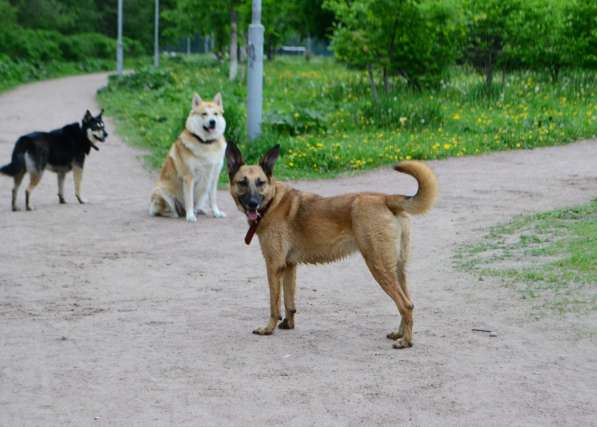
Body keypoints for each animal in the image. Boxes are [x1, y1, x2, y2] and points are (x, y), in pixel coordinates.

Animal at [149, 92, 226, 222]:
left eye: (215, 114)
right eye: (204, 114)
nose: (212, 122)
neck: (206, 143)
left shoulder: (214, 177)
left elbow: (213, 199)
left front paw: (216, 213)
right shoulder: (188, 178)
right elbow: (189, 199)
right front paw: (190, 216)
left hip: (203, 192)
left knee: (197, 205)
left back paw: (200, 210)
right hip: (161, 191)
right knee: (161, 211)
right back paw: (176, 213)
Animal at [226, 144, 436, 352]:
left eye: (260, 183)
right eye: (242, 182)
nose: (253, 204)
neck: (272, 202)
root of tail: (386, 198)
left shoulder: (273, 265)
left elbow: (274, 304)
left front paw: (268, 328)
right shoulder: (289, 266)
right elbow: (289, 301)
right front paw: (288, 324)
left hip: (379, 266)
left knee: (405, 304)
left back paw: (406, 341)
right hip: (397, 269)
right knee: (408, 302)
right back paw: (399, 333)